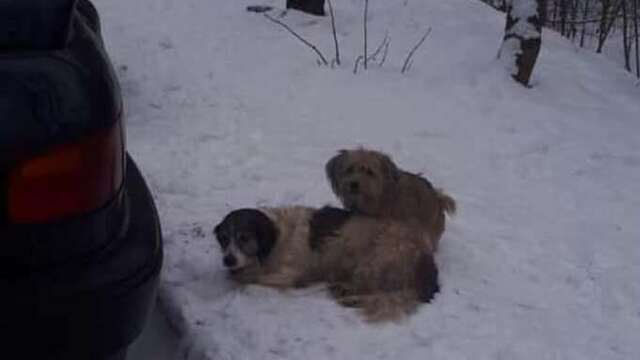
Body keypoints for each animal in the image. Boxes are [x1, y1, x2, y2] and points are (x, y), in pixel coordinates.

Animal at [215, 205, 440, 324]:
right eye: (224, 239)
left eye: (244, 238)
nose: (228, 260)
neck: (277, 239)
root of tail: (425, 254)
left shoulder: (289, 273)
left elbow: (250, 281)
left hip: (372, 257)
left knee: (377, 291)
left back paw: (348, 294)